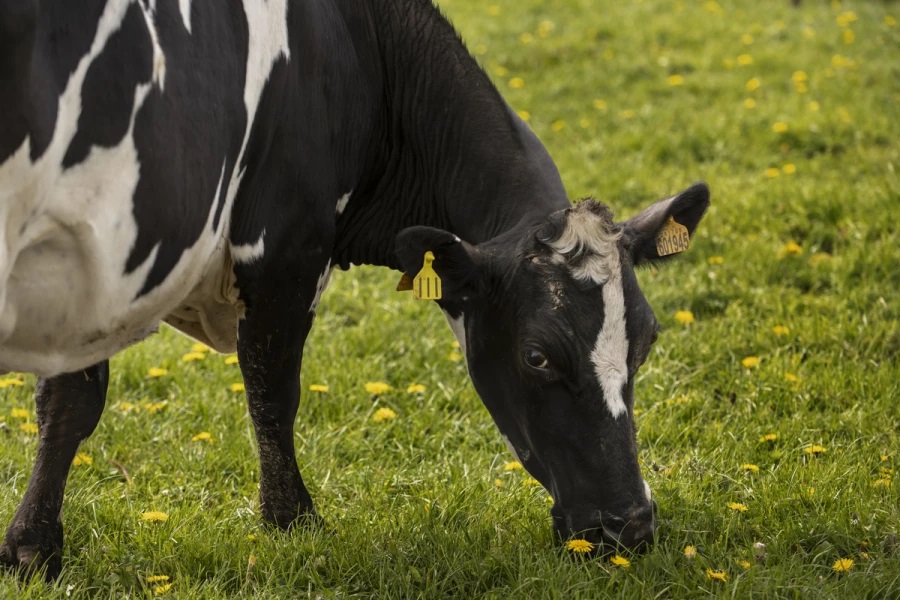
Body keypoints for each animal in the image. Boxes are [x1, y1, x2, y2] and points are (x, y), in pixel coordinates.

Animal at [0, 0, 709, 580]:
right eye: (537, 355)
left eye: (647, 341)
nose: (629, 525)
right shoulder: (281, 245)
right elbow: (268, 393)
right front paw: (291, 521)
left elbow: (68, 402)